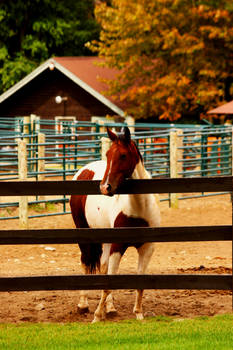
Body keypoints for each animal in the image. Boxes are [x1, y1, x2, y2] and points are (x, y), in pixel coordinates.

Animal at [69, 126, 160, 322]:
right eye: (108, 154)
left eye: (123, 155)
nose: (105, 187)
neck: (138, 208)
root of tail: (84, 170)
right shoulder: (117, 245)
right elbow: (110, 280)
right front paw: (96, 316)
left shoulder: (147, 247)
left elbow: (138, 281)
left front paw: (139, 314)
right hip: (84, 233)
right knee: (85, 262)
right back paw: (83, 305)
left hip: (105, 240)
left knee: (103, 268)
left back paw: (110, 308)